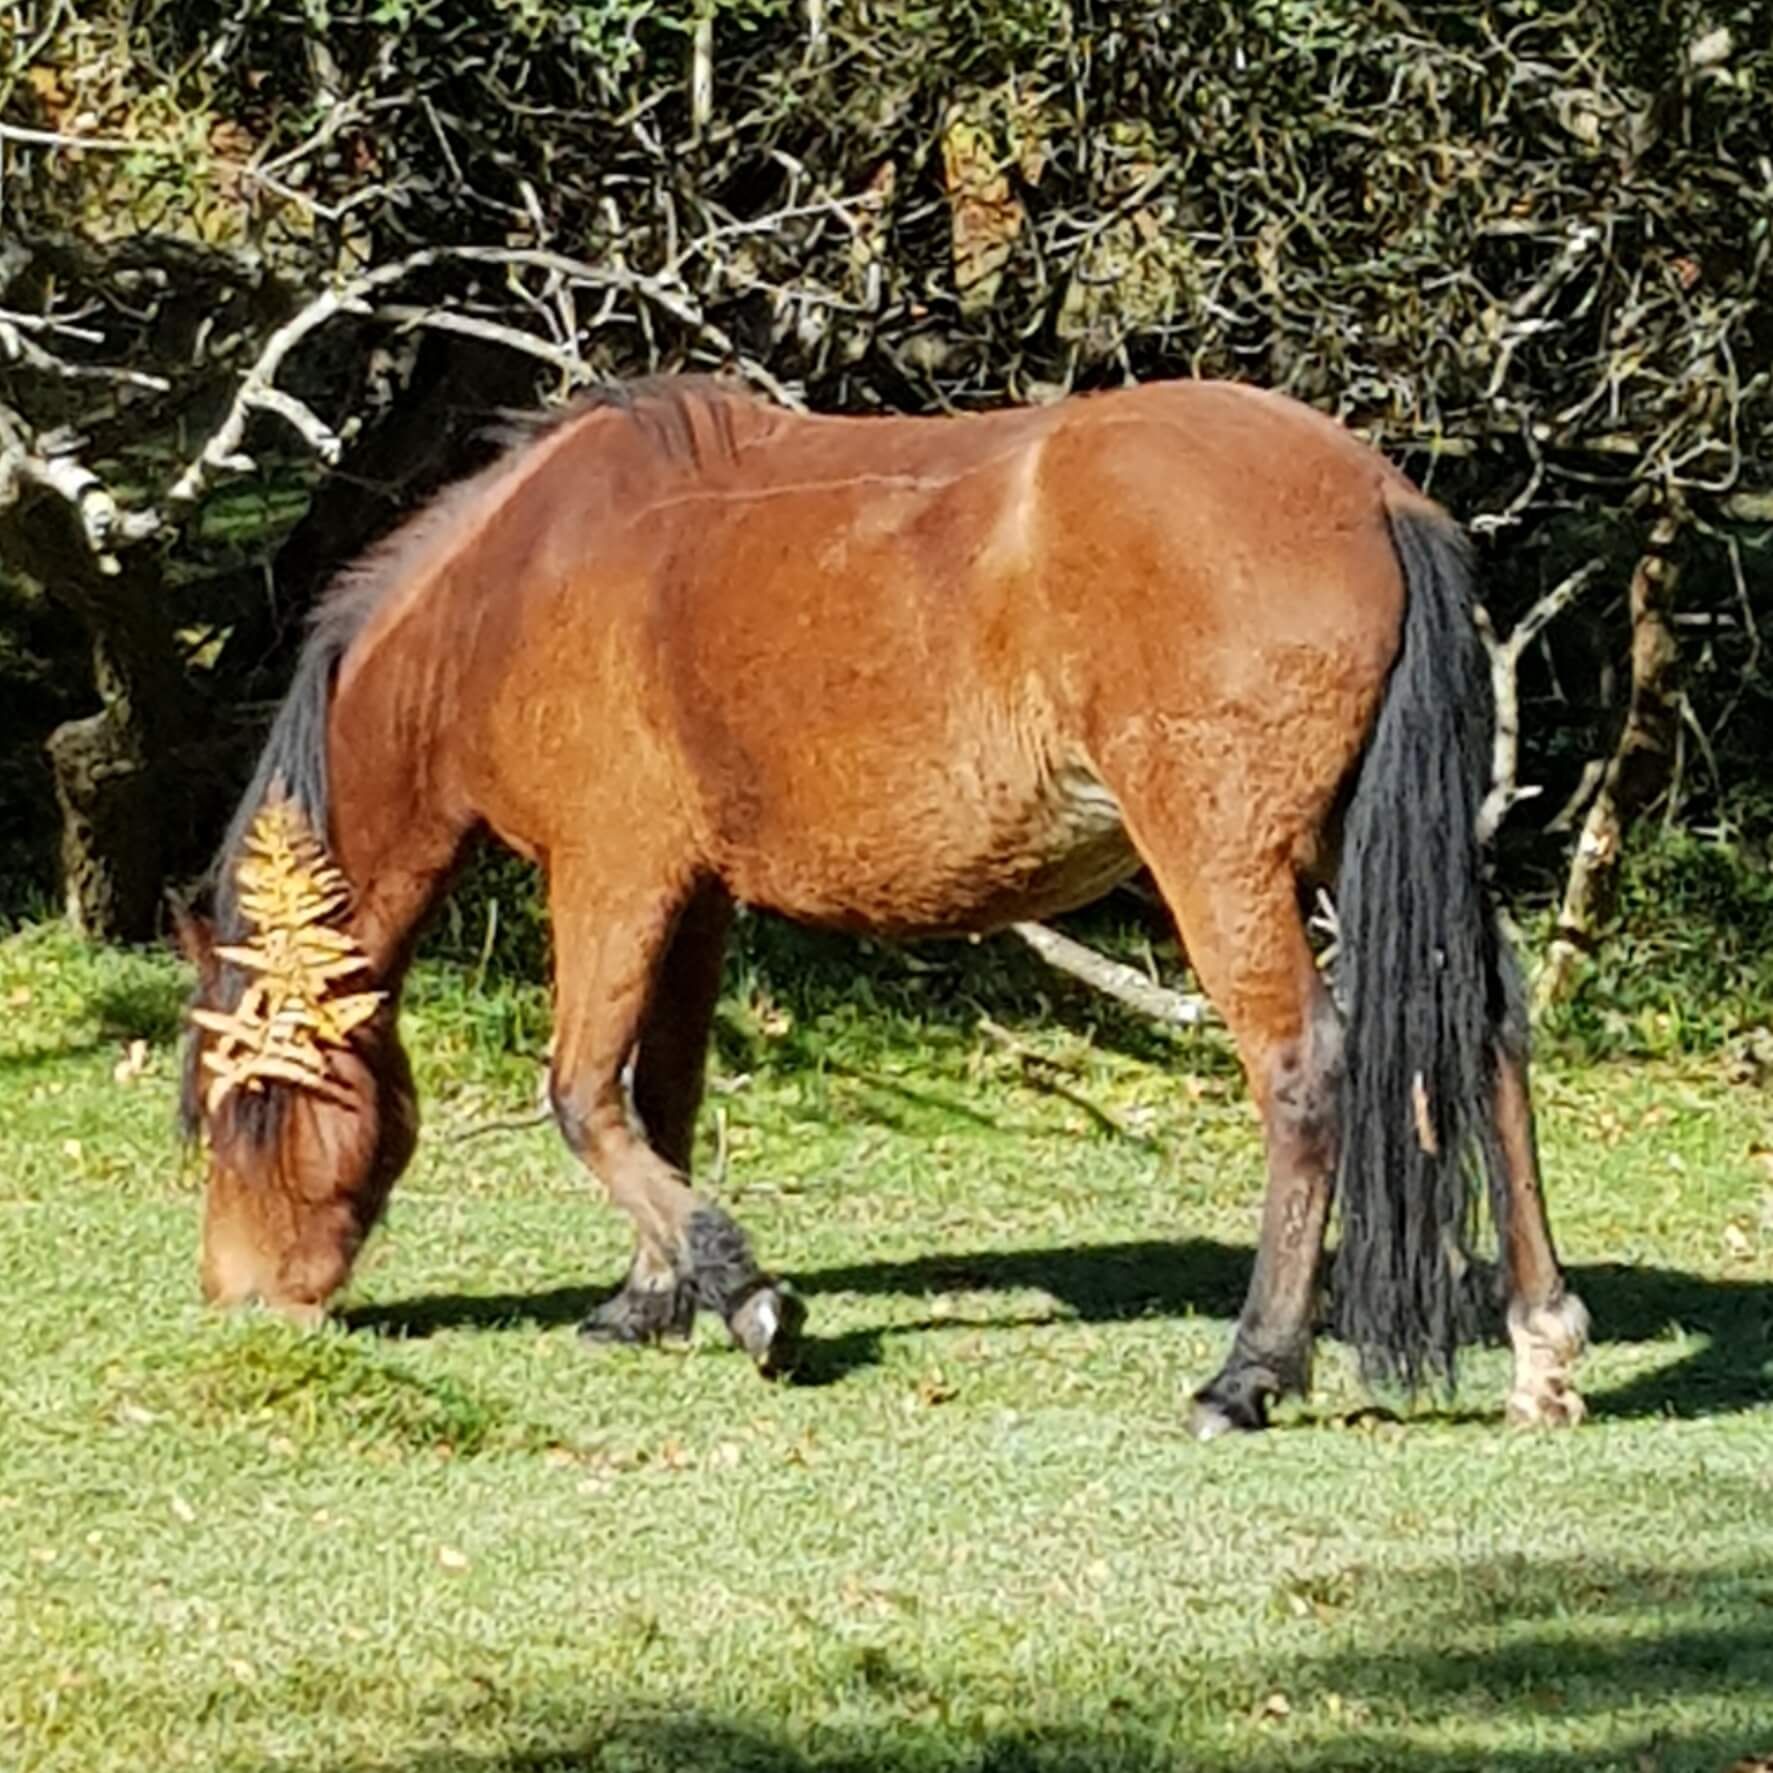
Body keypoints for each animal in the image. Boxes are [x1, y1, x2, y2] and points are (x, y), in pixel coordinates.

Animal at [177, 375, 1589, 1436]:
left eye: (241, 1102)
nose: (239, 1299)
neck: (516, 589)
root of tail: (1377, 497)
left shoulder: (611, 878)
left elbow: (582, 1097)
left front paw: (750, 1298)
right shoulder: (692, 898)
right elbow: (663, 1094)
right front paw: (654, 1298)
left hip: (1226, 866)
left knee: (1303, 1074)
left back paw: (1250, 1371)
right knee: (1492, 1035)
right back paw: (1543, 1342)